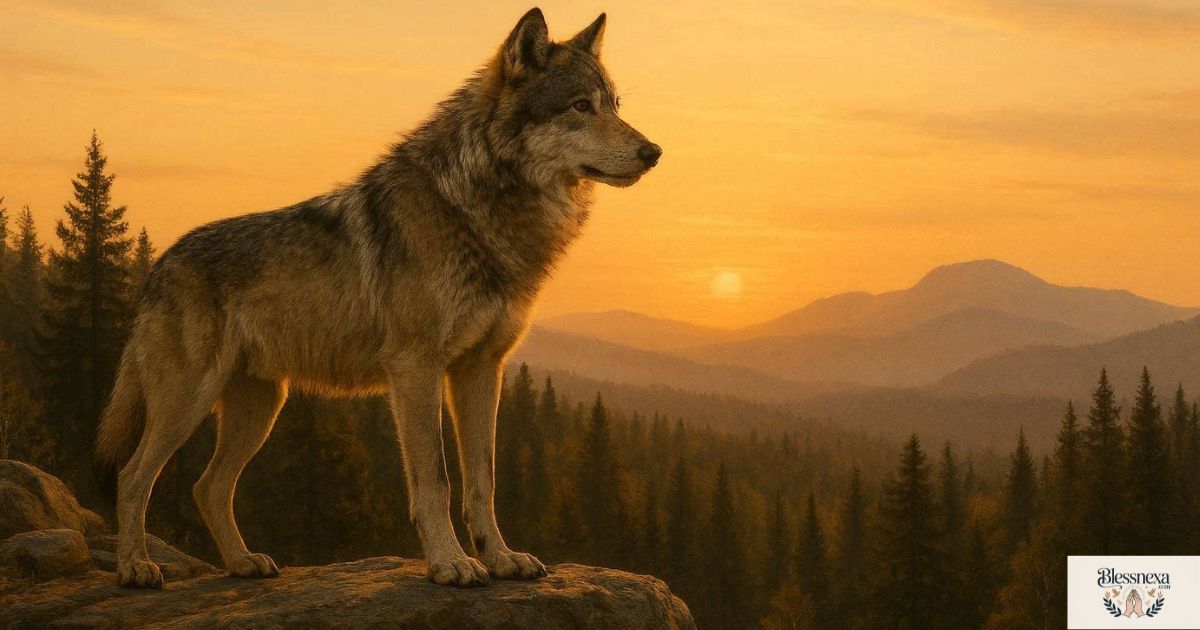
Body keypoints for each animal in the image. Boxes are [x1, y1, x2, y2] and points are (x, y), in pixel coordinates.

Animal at [95, 8, 660, 589]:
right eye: (580, 106)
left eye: (615, 105)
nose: (654, 152)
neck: (474, 209)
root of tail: (159, 266)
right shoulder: (416, 368)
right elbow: (436, 478)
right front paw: (451, 564)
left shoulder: (482, 368)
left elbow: (484, 479)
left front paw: (502, 558)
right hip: (188, 401)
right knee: (133, 476)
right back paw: (136, 567)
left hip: (262, 407)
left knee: (208, 486)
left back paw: (242, 562)